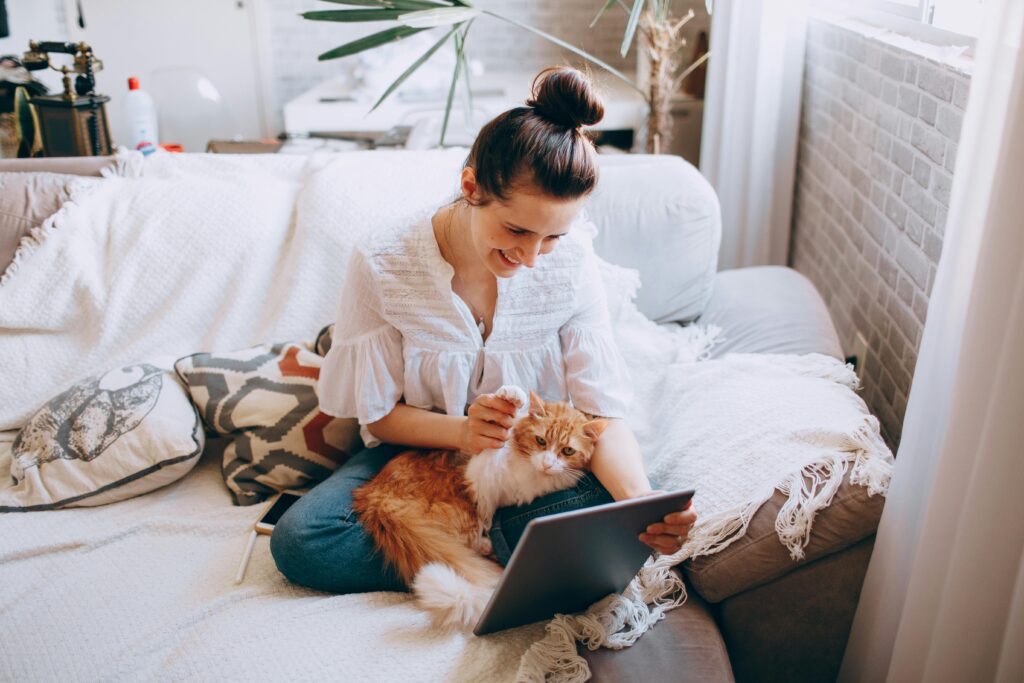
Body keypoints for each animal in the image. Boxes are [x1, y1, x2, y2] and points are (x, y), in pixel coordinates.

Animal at [352, 385, 606, 630]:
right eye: (541, 441)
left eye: (568, 451)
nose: (547, 463)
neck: (530, 473)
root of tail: (376, 494)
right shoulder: (481, 469)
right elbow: (497, 441)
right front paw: (512, 396)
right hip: (459, 508)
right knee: (464, 537)